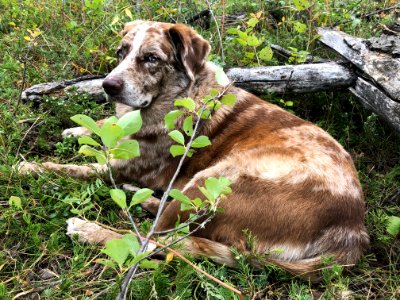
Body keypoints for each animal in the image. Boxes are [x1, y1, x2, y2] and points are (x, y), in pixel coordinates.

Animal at [18, 20, 368, 278]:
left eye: (151, 58)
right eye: (121, 53)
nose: (108, 86)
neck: (177, 96)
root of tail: (351, 232)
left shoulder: (120, 167)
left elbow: (67, 169)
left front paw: (25, 167)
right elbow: (104, 126)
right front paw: (76, 130)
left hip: (218, 178)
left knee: (153, 242)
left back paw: (88, 229)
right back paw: (142, 199)